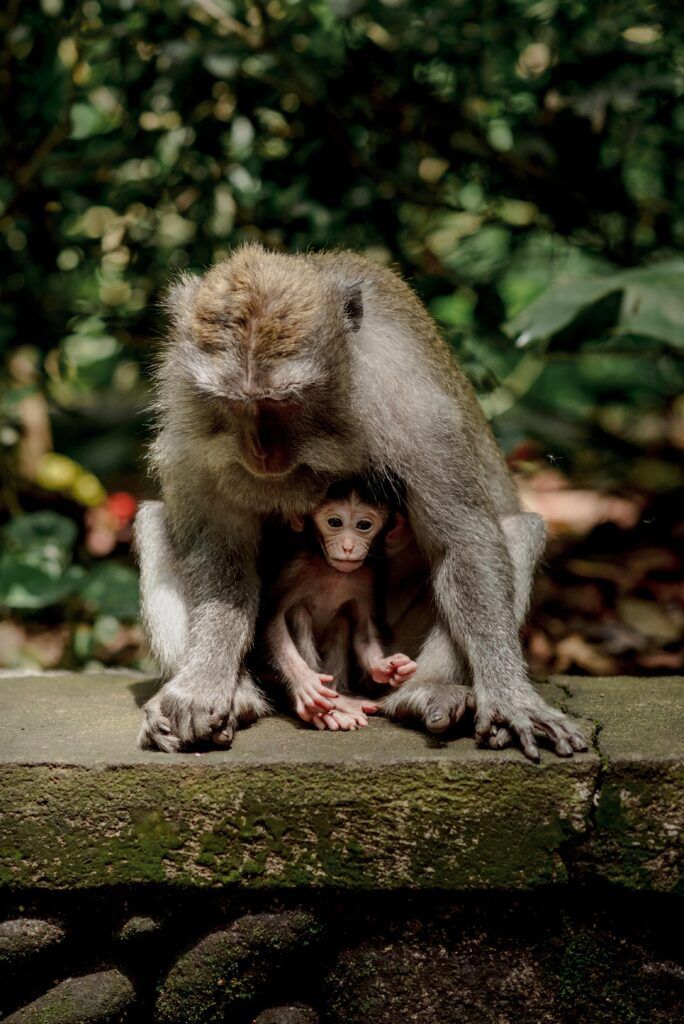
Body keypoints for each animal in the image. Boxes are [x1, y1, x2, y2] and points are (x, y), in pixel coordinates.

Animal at [263, 479, 417, 731]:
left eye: (364, 525)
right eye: (334, 522)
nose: (347, 547)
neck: (333, 571)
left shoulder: (365, 577)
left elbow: (364, 633)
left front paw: (387, 667)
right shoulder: (294, 569)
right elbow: (272, 620)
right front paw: (304, 681)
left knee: (341, 619)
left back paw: (341, 699)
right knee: (299, 613)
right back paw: (329, 710)